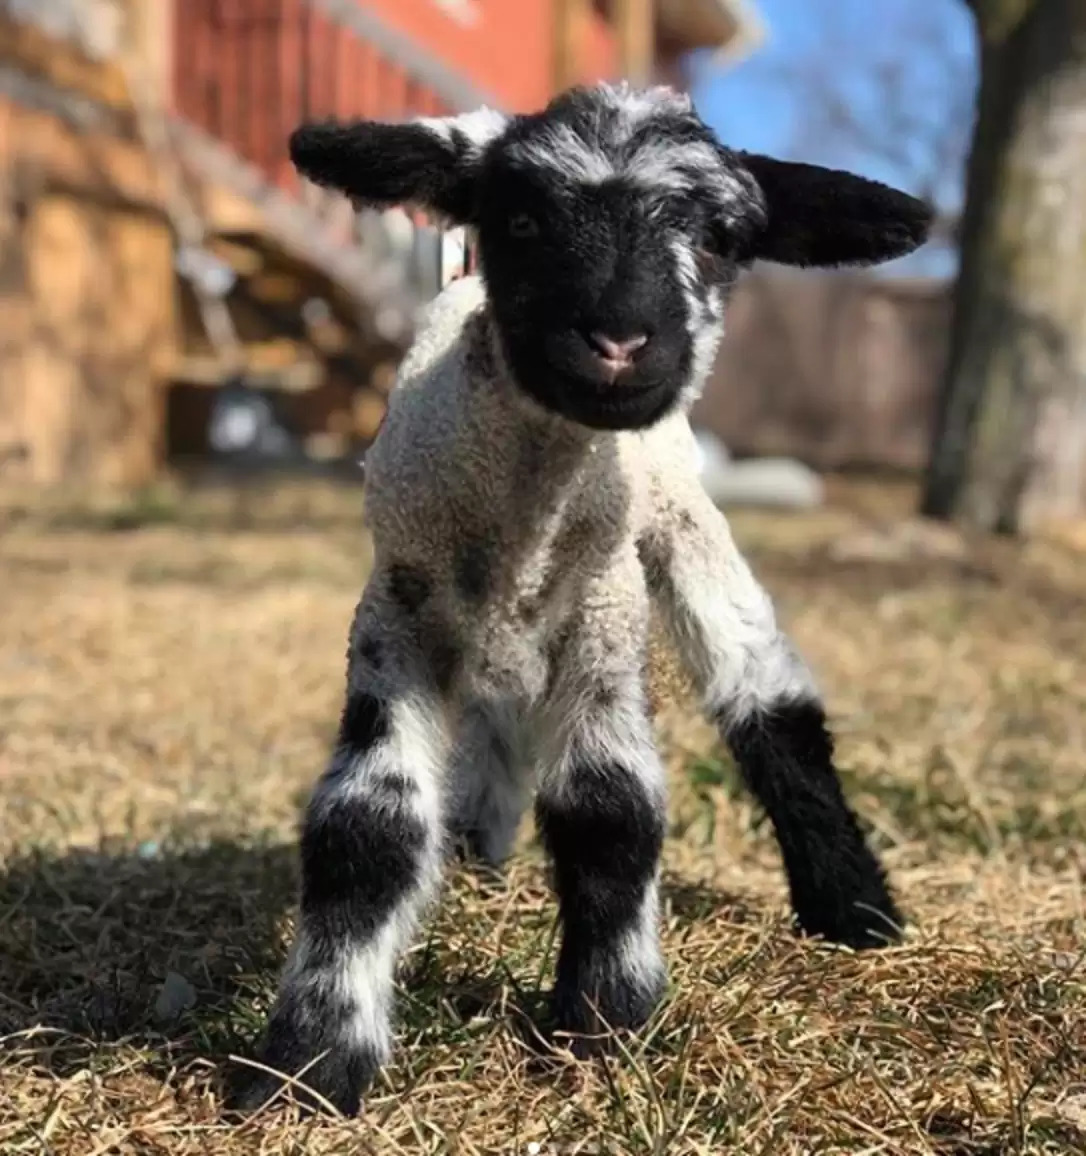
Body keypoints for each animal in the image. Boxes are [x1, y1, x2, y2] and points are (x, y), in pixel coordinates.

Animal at [233, 79, 929, 1109]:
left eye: (721, 237)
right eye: (519, 219)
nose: (618, 339)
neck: (522, 521)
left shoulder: (604, 616)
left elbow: (611, 808)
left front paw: (604, 1023)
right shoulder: (396, 614)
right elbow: (368, 821)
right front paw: (312, 1057)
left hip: (682, 517)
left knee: (766, 693)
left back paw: (853, 907)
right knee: (497, 730)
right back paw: (476, 854)